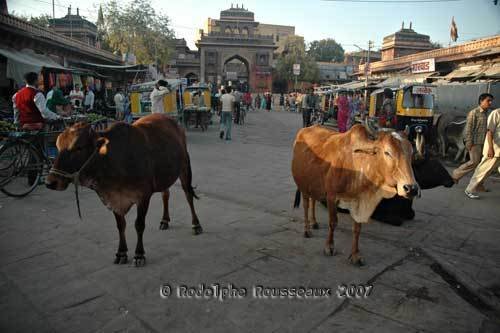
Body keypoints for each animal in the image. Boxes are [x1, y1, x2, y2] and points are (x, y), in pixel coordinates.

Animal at [46, 113, 202, 264]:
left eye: (78, 147)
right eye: (57, 146)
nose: (50, 182)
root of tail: (172, 121)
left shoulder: (143, 196)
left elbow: (139, 225)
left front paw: (139, 254)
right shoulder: (114, 199)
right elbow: (121, 225)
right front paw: (121, 253)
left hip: (185, 167)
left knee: (188, 195)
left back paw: (196, 225)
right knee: (165, 194)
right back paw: (165, 220)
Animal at [292, 122, 420, 264]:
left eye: (411, 152)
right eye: (387, 152)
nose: (411, 188)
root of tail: (306, 128)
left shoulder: (359, 201)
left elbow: (357, 229)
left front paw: (355, 255)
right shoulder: (331, 196)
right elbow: (333, 222)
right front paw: (329, 247)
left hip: (314, 184)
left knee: (313, 201)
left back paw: (314, 223)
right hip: (303, 185)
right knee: (306, 205)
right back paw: (307, 229)